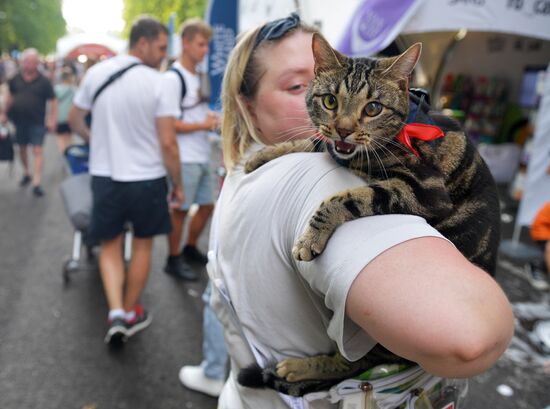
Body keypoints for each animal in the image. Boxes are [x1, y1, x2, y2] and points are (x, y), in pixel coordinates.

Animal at [239, 33, 502, 396]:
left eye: (373, 108)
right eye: (330, 101)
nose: (344, 130)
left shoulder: (423, 191)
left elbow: (347, 196)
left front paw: (311, 237)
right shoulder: (336, 146)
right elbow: (313, 142)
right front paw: (264, 154)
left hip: (380, 343)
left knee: (350, 364)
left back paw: (298, 367)